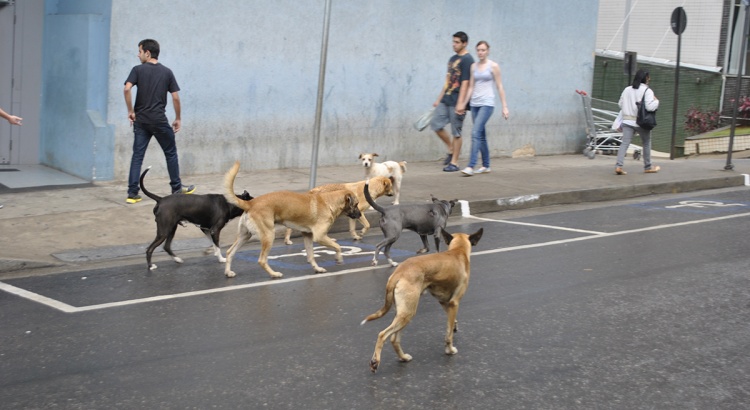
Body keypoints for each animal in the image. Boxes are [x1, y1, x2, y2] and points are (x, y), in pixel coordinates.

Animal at [223, 160, 364, 278]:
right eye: (356, 204)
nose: (360, 215)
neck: (329, 202)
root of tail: (250, 203)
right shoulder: (320, 236)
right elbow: (337, 246)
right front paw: (339, 258)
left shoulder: (308, 236)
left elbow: (311, 256)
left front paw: (317, 269)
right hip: (268, 236)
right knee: (262, 260)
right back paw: (274, 274)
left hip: (245, 236)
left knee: (230, 252)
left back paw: (228, 272)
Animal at [362, 227, 484, 372]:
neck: (457, 250)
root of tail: (398, 272)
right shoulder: (454, 303)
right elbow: (448, 334)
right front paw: (449, 350)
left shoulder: (445, 302)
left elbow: (451, 322)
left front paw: (454, 326)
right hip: (408, 313)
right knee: (382, 334)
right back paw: (375, 361)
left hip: (403, 314)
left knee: (394, 339)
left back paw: (403, 357)